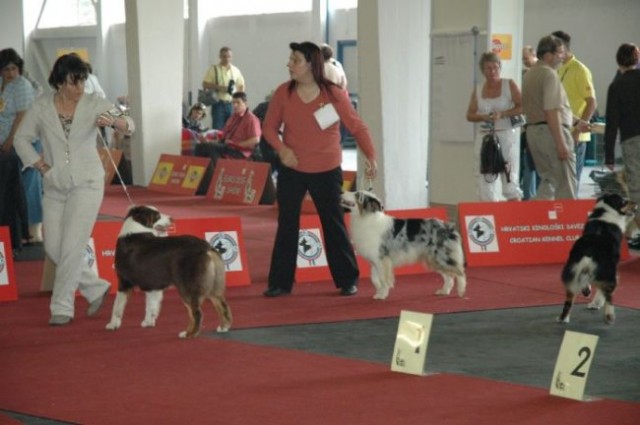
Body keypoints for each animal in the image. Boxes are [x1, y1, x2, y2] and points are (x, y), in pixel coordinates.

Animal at [105, 205, 232, 338]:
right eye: (157, 215)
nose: (172, 218)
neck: (136, 229)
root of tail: (206, 247)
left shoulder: (124, 281)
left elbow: (117, 306)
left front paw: (112, 325)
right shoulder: (152, 284)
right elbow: (151, 305)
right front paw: (148, 322)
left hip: (187, 286)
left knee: (196, 312)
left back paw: (188, 334)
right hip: (213, 284)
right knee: (222, 304)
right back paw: (223, 327)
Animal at [556, 193, 636, 324]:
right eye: (624, 201)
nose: (636, 203)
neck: (606, 209)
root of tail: (589, 249)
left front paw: (587, 292)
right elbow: (601, 291)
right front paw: (596, 303)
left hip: (571, 270)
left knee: (569, 298)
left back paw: (563, 318)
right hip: (608, 273)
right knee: (608, 296)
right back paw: (609, 316)